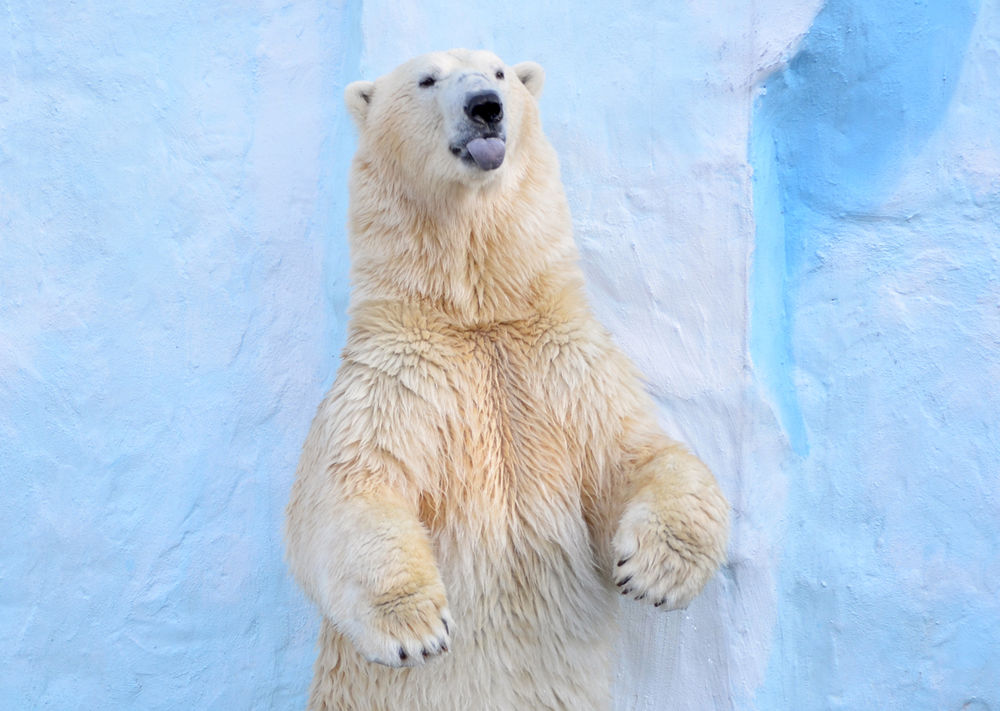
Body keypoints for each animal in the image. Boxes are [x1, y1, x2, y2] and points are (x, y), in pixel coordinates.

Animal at [285, 49, 729, 710]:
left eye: (497, 73)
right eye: (426, 78)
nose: (485, 108)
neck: (478, 319)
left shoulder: (566, 364)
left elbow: (634, 455)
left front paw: (655, 571)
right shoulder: (399, 376)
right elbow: (350, 487)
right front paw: (414, 627)